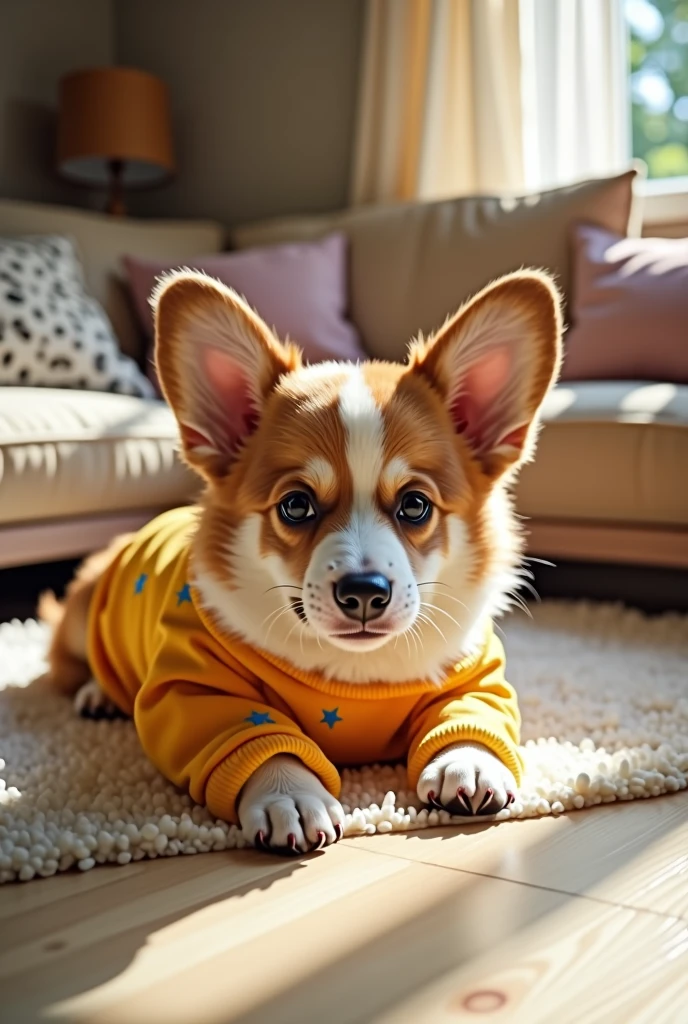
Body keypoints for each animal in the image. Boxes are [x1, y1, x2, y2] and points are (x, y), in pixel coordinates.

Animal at [41, 270, 556, 856]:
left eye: (415, 505)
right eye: (295, 505)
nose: (364, 592)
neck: (354, 674)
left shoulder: (475, 675)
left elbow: (470, 714)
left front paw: (467, 763)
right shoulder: (199, 691)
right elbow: (259, 737)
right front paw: (291, 795)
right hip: (85, 613)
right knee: (68, 663)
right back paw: (98, 693)